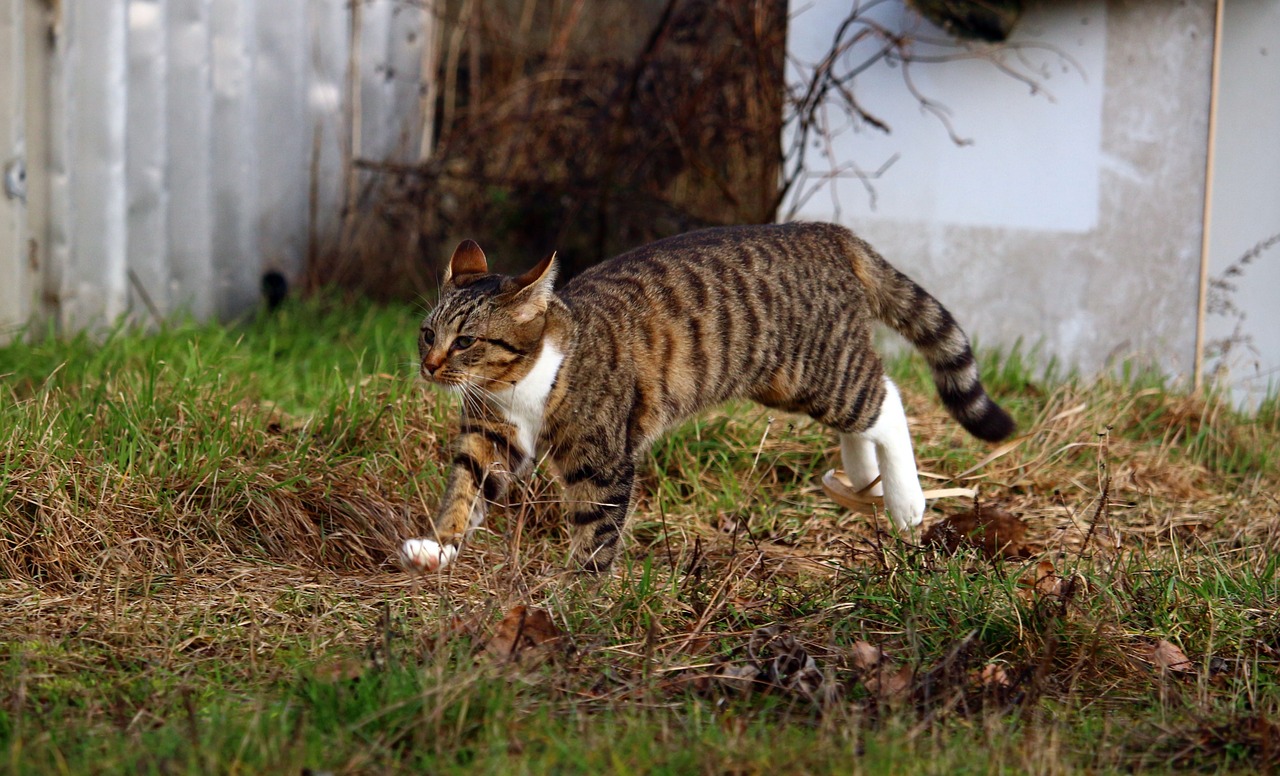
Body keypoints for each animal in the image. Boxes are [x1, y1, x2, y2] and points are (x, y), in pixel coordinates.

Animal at [394, 221, 1013, 573]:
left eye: (466, 342)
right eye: (427, 334)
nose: (428, 366)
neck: (516, 387)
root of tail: (826, 230)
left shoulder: (604, 460)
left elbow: (596, 530)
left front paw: (573, 595)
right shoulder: (489, 438)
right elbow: (464, 491)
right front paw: (439, 548)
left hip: (814, 371)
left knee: (886, 398)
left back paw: (906, 503)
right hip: (791, 382)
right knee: (865, 414)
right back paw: (865, 480)